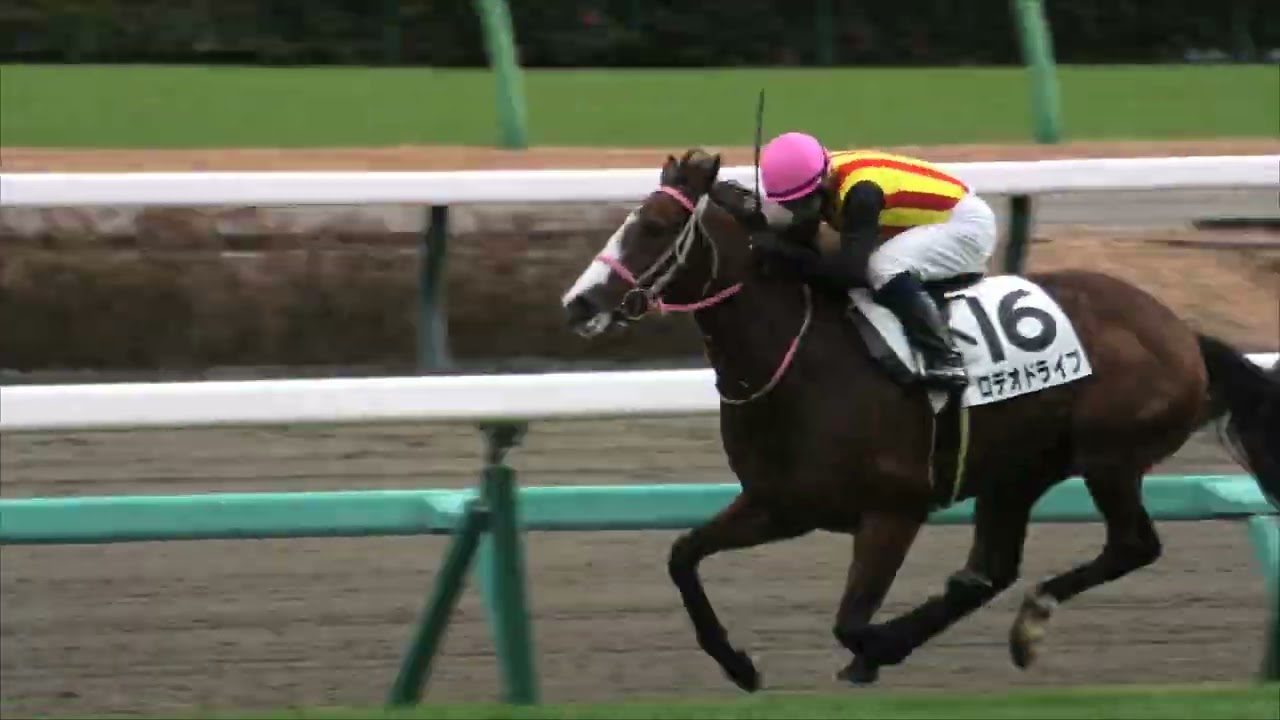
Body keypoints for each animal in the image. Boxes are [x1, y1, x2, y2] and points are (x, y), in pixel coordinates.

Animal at [560, 148, 1280, 690]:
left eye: (655, 225)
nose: (578, 304)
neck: (798, 361)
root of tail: (1180, 330)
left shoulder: (894, 509)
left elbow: (850, 622)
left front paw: (876, 648)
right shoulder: (779, 504)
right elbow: (682, 555)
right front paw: (739, 665)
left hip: (1109, 455)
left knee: (1130, 545)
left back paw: (1027, 623)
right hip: (1016, 471)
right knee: (990, 569)